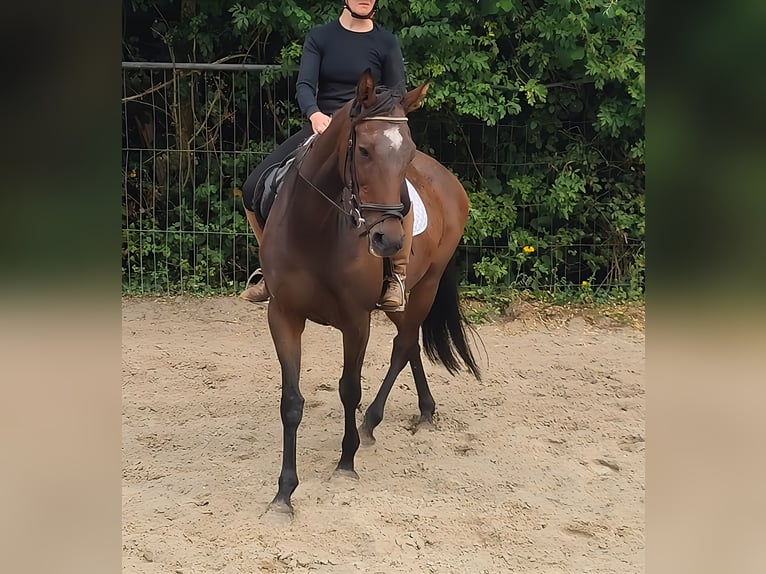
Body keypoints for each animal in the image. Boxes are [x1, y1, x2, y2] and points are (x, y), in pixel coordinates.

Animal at [255, 70, 481, 515]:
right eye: (362, 150)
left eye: (406, 154)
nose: (388, 239)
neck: (315, 228)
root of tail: (448, 179)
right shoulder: (283, 315)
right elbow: (291, 401)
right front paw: (284, 493)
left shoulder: (356, 321)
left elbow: (349, 389)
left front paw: (346, 462)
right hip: (401, 298)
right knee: (410, 343)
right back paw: (425, 410)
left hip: (425, 286)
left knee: (404, 344)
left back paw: (373, 420)